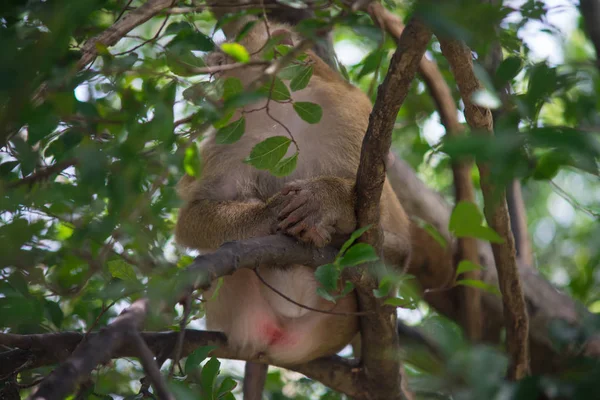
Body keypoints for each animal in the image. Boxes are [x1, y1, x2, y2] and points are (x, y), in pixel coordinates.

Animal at [171, 16, 410, 396]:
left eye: (223, 61)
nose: (209, 74)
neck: (284, 106)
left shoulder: (353, 115)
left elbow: (378, 217)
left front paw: (323, 202)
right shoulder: (229, 133)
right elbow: (192, 217)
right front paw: (268, 214)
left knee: (391, 246)